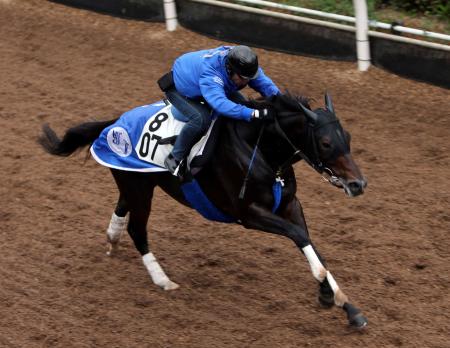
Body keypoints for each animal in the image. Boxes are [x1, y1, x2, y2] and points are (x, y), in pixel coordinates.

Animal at [38, 91, 370, 328]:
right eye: (325, 142)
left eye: (348, 138)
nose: (358, 184)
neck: (260, 149)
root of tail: (113, 123)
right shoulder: (248, 213)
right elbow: (298, 236)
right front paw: (328, 294)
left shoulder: (290, 204)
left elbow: (310, 243)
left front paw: (346, 306)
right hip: (140, 190)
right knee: (137, 229)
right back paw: (163, 280)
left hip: (135, 183)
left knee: (122, 210)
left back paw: (112, 239)